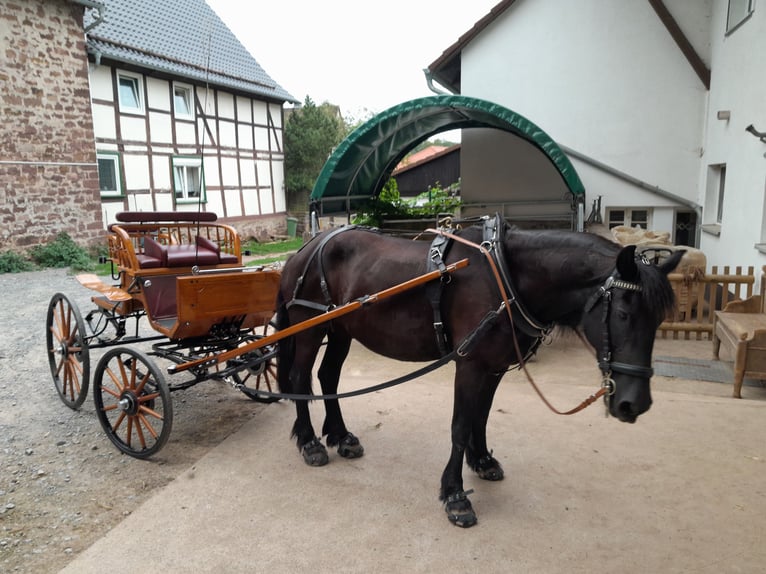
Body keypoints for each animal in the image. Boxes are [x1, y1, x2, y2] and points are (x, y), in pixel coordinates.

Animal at [275, 215, 684, 527]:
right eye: (624, 313)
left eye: (658, 319)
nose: (635, 404)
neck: (505, 276)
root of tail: (307, 248)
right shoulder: (470, 363)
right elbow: (459, 425)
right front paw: (455, 494)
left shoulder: (493, 365)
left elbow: (481, 416)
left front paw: (482, 460)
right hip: (309, 327)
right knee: (300, 380)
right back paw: (310, 442)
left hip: (341, 330)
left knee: (328, 378)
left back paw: (341, 436)